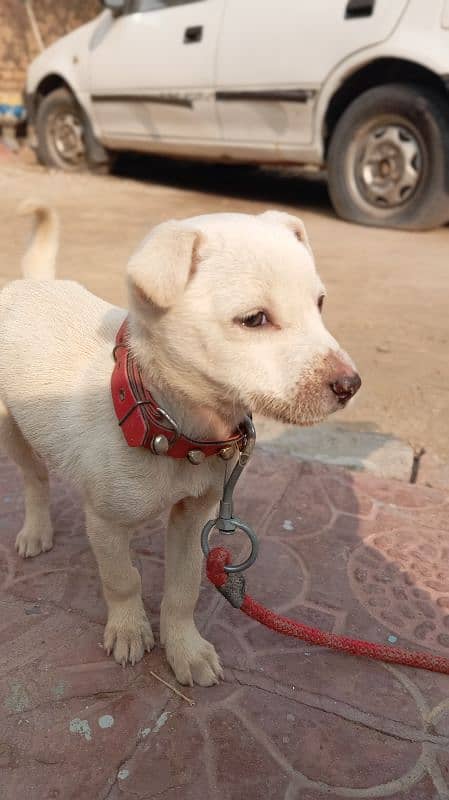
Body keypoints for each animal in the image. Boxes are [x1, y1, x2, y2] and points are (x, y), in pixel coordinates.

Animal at [0, 206, 358, 688]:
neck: (172, 427)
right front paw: (129, 630)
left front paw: (185, 649)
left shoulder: (195, 520)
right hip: (11, 429)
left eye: (319, 303)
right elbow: (122, 579)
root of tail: (30, 283)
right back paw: (36, 530)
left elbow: (183, 589)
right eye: (255, 319)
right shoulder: (105, 522)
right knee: (35, 479)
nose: (351, 386)